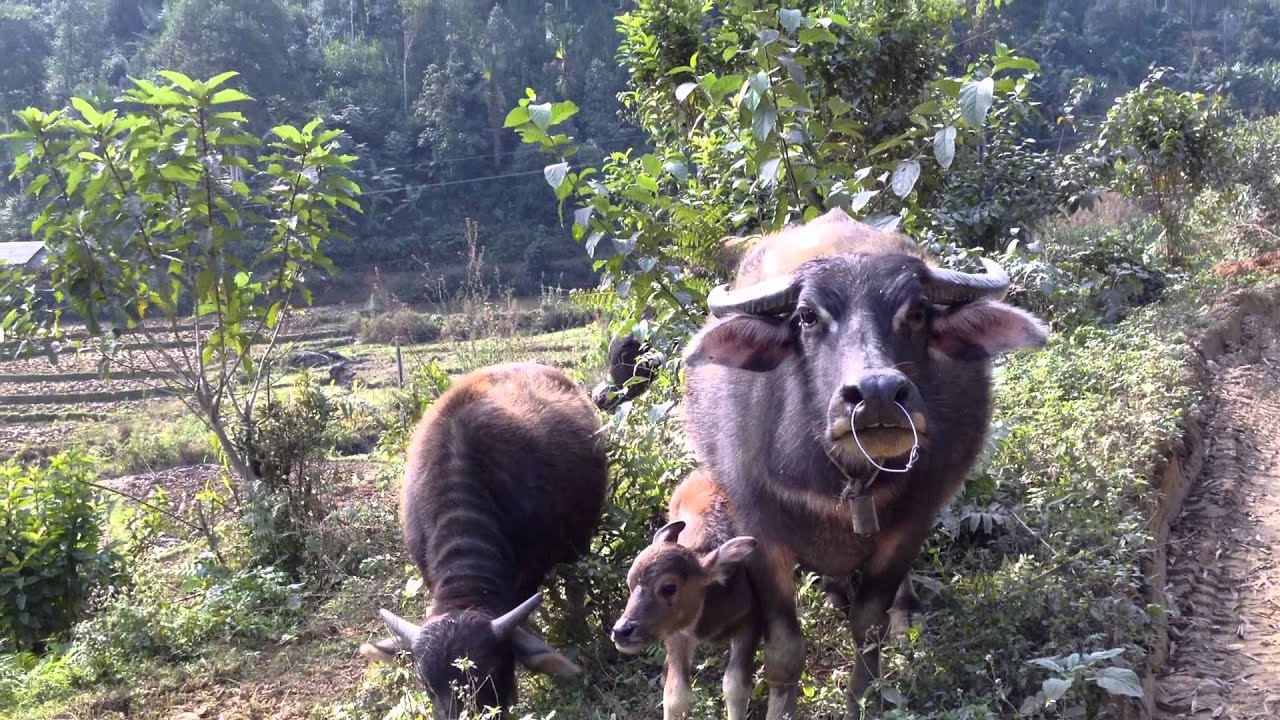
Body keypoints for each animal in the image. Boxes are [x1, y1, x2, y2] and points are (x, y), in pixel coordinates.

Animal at [611, 468, 800, 720]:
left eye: (668, 587)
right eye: (630, 582)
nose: (622, 631)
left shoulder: (749, 625)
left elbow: (735, 686)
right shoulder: (677, 635)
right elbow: (676, 695)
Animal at [680, 207, 1049, 718]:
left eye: (916, 312)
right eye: (807, 316)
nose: (877, 394)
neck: (849, 478)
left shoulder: (913, 521)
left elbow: (868, 622)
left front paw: (862, 696)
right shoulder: (759, 532)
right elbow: (784, 649)